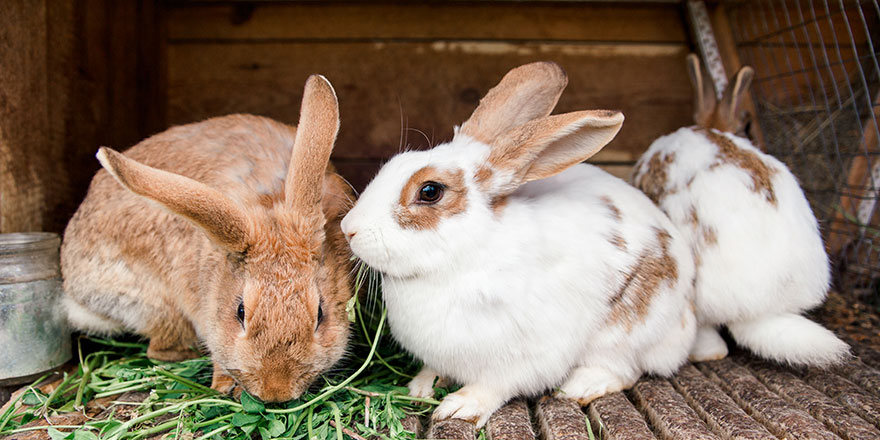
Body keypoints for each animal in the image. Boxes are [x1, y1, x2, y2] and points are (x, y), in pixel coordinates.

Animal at [60, 76, 356, 402]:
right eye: (240, 312)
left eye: (320, 314)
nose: (275, 392)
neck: (268, 200)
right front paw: (223, 385)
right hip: (158, 304)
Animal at [340, 62, 696, 426]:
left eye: (430, 191)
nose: (348, 228)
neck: (463, 257)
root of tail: (687, 319)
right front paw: (422, 386)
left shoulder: (524, 357)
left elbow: (495, 386)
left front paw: (461, 407)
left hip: (625, 332)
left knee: (624, 369)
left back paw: (580, 386)